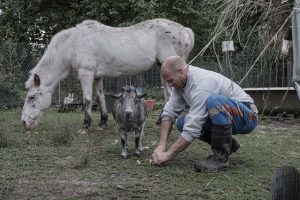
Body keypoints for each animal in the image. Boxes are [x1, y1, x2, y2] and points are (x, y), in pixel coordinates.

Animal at [21, 18, 195, 131]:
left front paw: (86, 125)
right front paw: (102, 122)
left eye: (31, 97)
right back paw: (160, 122)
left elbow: (87, 99)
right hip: (162, 67)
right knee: (167, 94)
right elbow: (100, 97)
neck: (72, 44)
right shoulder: (97, 76)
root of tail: (184, 30)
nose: (24, 122)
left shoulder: (86, 74)